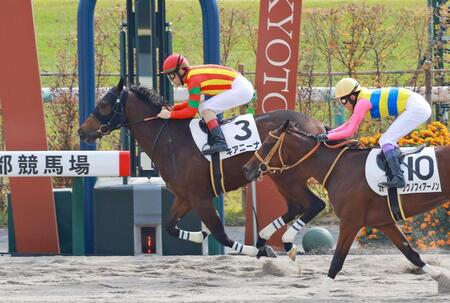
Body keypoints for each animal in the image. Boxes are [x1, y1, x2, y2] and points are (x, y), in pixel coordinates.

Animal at [79, 80, 328, 258]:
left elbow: (221, 234)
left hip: (288, 177)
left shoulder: (199, 197)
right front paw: (204, 234)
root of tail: (317, 126)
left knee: (314, 204)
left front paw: (257, 251)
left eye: (103, 104)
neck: (171, 141)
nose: (82, 131)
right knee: (296, 206)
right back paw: (265, 238)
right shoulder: (184, 197)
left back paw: (282, 242)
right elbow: (171, 227)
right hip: (278, 176)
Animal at [243, 120, 450, 296]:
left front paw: (321, 294)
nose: (247, 169)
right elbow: (411, 254)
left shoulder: (350, 221)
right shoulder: (384, 223)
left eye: (268, 143)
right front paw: (442, 278)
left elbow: (336, 261)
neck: (339, 169)